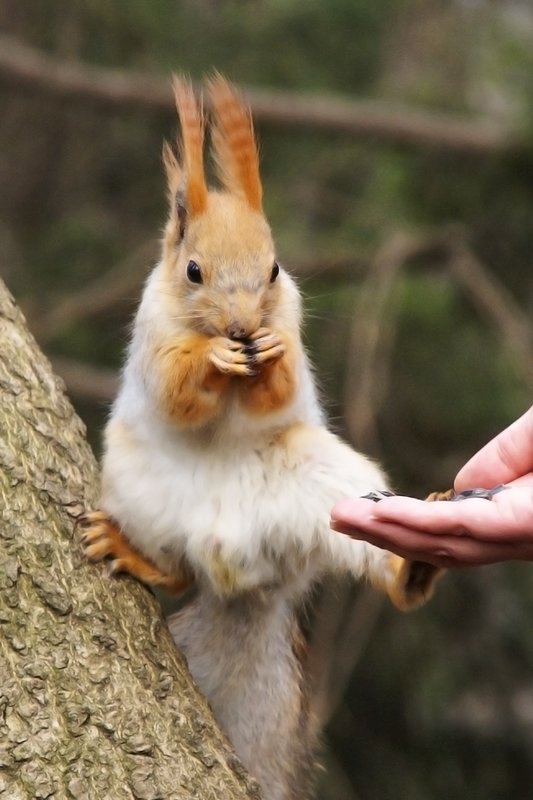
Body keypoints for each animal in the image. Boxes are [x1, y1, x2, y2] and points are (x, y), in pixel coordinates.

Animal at [82, 76, 440, 800]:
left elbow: (279, 384)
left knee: (366, 550)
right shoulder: (154, 336)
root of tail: (250, 581)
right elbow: (177, 389)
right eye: (193, 270)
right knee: (176, 567)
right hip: (142, 497)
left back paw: (409, 569)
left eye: (274, 270)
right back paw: (135, 553)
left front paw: (269, 357)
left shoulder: (291, 317)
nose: (245, 327)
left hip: (330, 489)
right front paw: (212, 362)